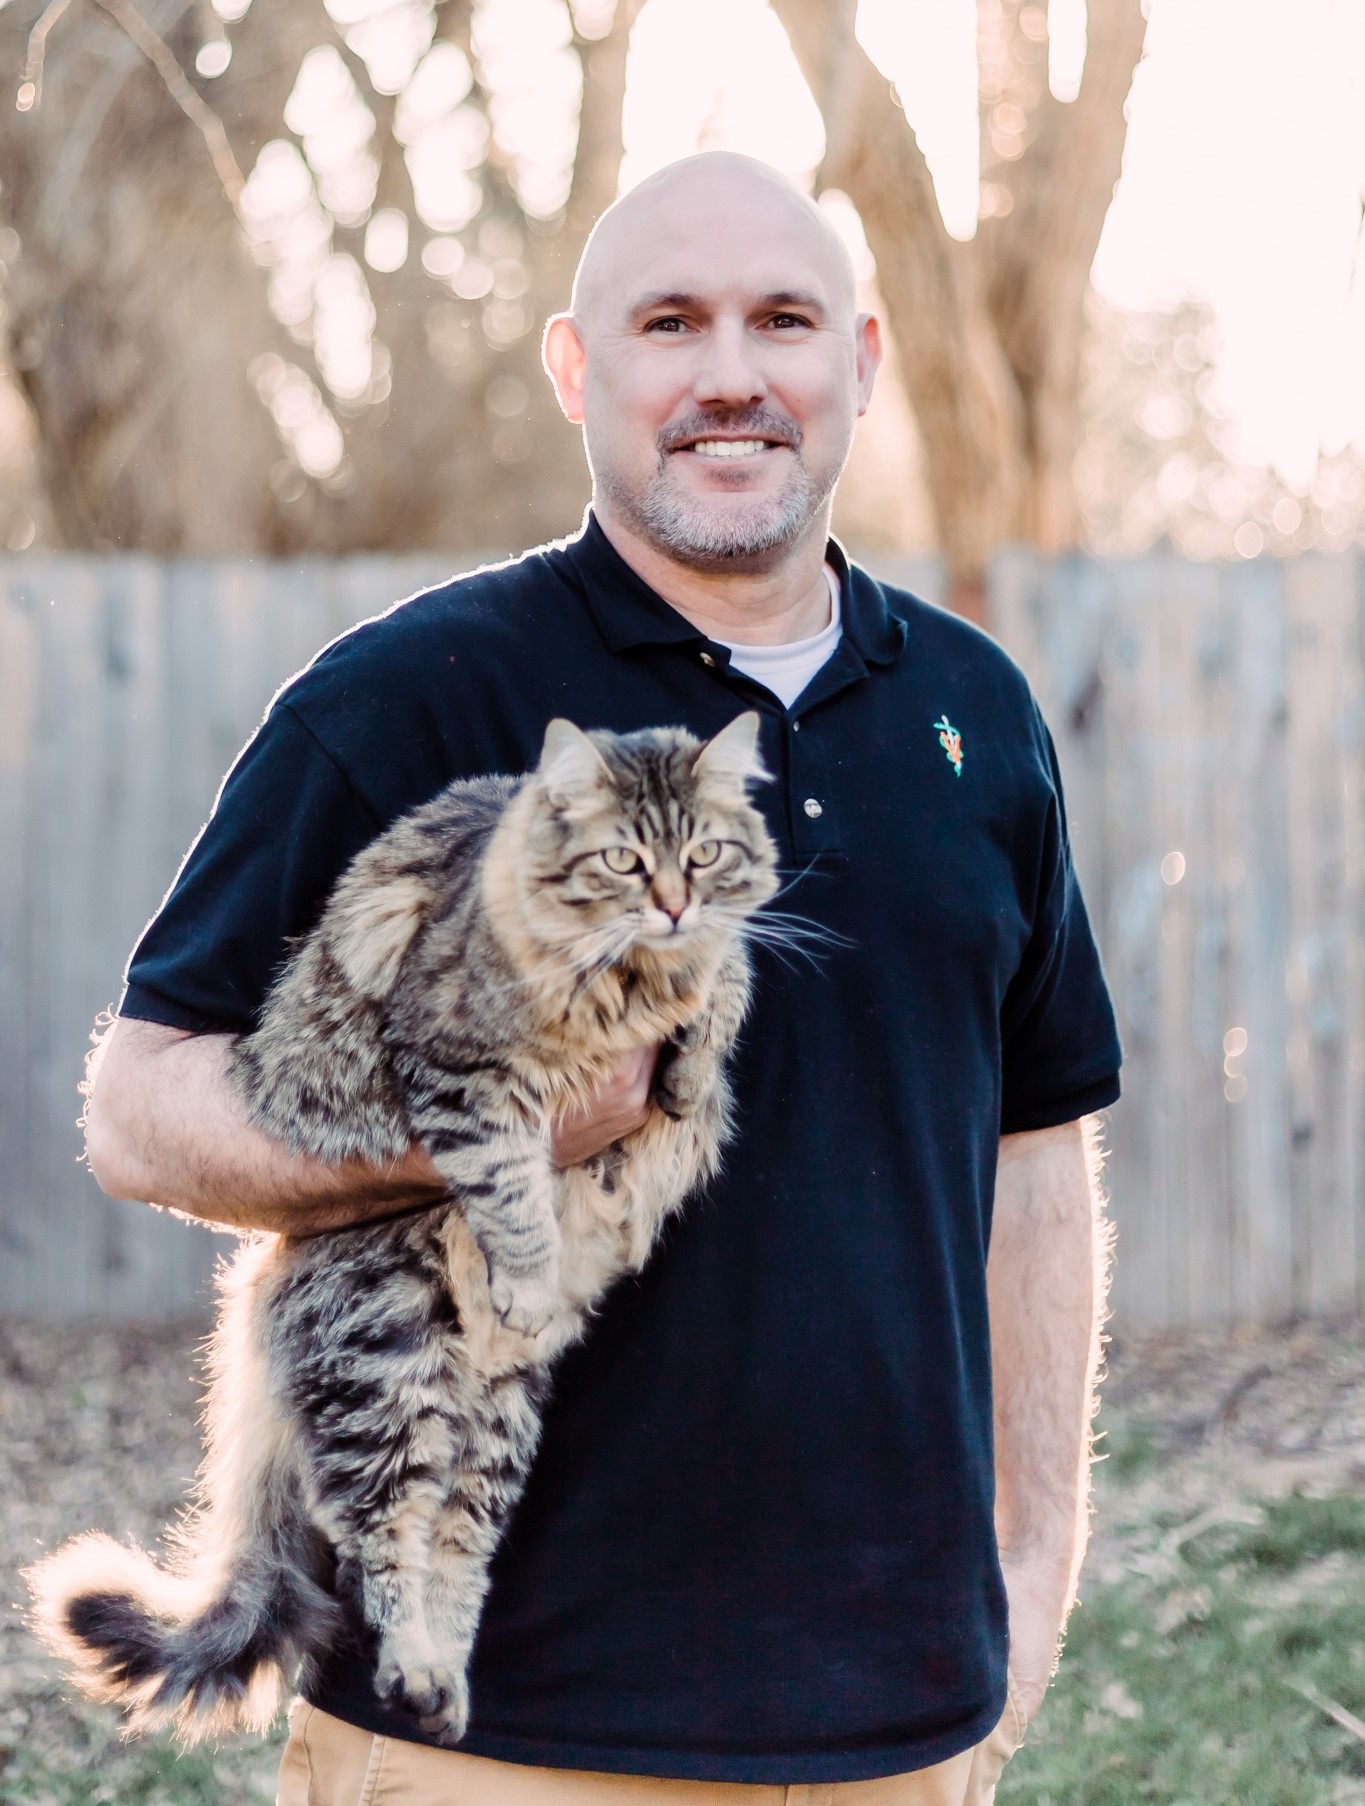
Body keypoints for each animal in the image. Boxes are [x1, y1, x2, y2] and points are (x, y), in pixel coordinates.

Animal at [28, 712, 779, 1748]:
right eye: (622, 861)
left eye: (703, 855)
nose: (671, 907)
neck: (637, 970)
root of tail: (263, 1280)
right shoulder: (460, 1076)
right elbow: (512, 1190)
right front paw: (533, 1268)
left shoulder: (708, 954)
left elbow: (729, 975)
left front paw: (694, 1064)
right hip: (386, 1363)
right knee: (378, 1545)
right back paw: (414, 1670)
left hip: (495, 1425)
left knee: (454, 1550)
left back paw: (444, 1682)